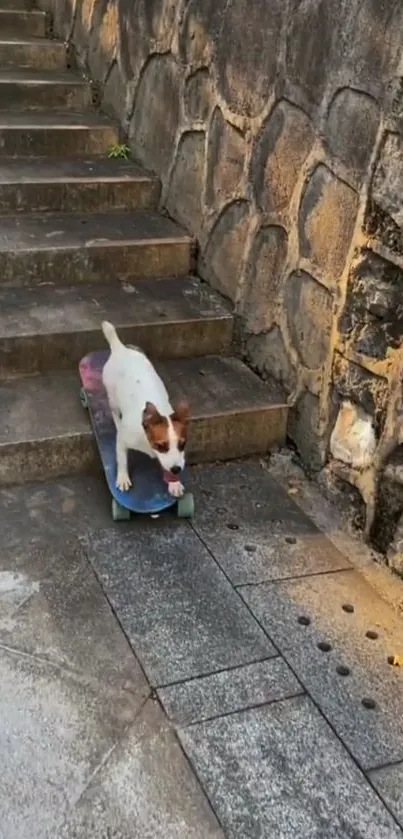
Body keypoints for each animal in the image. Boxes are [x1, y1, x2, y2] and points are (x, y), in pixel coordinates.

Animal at [100, 322, 190, 498]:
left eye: (182, 445)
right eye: (161, 446)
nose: (176, 469)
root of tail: (120, 348)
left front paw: (174, 483)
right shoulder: (122, 441)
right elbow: (122, 460)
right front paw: (123, 477)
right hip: (112, 398)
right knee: (115, 413)